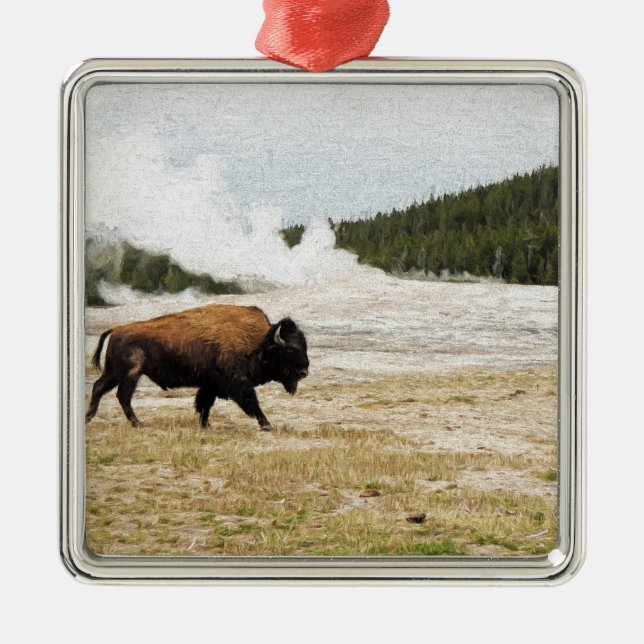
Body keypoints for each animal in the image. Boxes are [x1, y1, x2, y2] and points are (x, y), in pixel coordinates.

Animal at [85, 304, 309, 430]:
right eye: (289, 351)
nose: (304, 371)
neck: (261, 342)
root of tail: (117, 329)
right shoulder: (237, 383)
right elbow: (251, 402)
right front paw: (266, 424)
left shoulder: (210, 385)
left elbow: (204, 404)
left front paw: (206, 425)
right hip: (130, 373)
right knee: (122, 396)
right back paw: (137, 423)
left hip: (114, 373)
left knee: (99, 388)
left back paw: (89, 417)